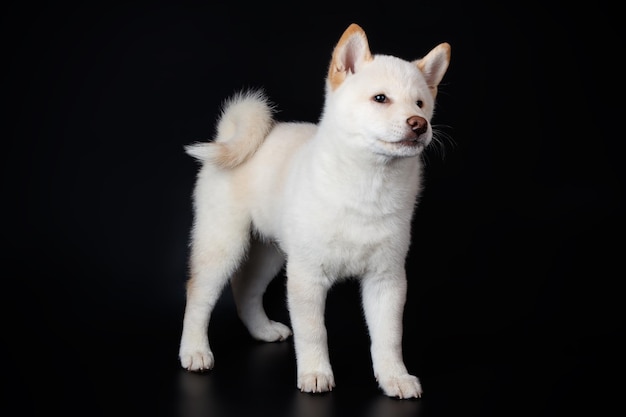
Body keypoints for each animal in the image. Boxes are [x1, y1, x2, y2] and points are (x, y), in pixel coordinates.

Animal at [178, 23, 450, 400]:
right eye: (380, 99)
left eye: (421, 103)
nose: (419, 123)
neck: (368, 185)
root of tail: (229, 135)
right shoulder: (307, 276)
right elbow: (314, 332)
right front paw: (316, 373)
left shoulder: (387, 279)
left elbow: (389, 337)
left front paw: (394, 377)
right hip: (224, 245)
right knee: (199, 295)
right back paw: (194, 351)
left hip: (271, 254)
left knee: (245, 289)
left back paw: (262, 330)